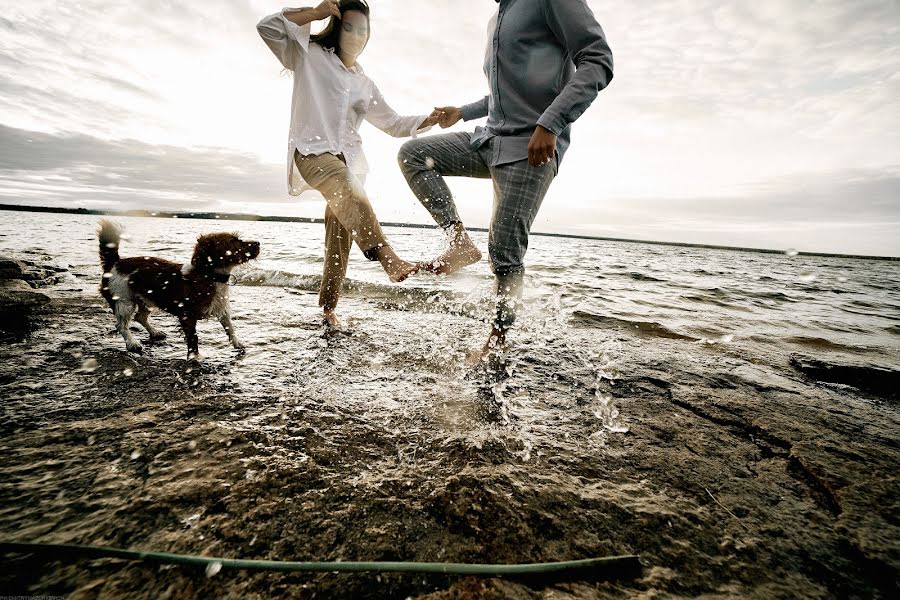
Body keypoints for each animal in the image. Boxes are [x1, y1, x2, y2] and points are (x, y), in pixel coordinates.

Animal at [99, 220, 260, 360]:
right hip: (124, 302)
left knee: (140, 317)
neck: (209, 276)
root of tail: (115, 262)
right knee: (121, 325)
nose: (258, 243)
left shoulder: (221, 307)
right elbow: (193, 337)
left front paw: (237, 344)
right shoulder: (187, 315)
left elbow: (230, 328)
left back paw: (155, 332)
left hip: (146, 299)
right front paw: (195, 357)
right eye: (234, 241)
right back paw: (132, 343)